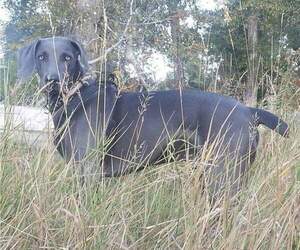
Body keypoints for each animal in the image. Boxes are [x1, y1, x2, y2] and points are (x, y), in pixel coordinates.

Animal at [18, 37, 288, 197]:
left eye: (67, 57)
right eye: (41, 56)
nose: (52, 81)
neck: (75, 97)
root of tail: (249, 110)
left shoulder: (88, 171)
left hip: (223, 177)